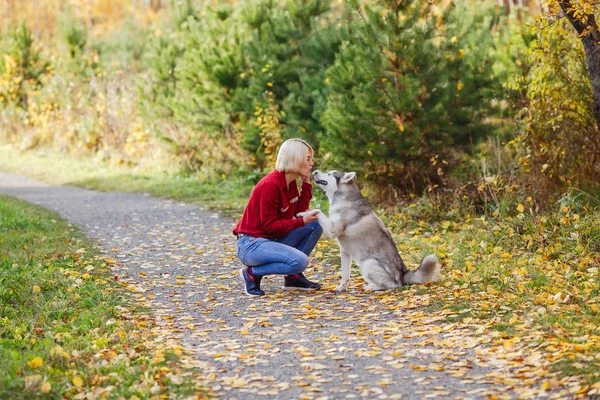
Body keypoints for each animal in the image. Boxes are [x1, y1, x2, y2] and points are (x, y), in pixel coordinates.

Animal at [302, 170, 438, 292]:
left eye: (329, 174)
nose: (314, 171)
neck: (344, 198)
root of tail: (403, 273)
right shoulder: (345, 252)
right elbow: (345, 274)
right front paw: (342, 287)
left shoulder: (332, 230)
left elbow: (318, 211)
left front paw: (303, 213)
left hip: (368, 263)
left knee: (392, 285)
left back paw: (372, 287)